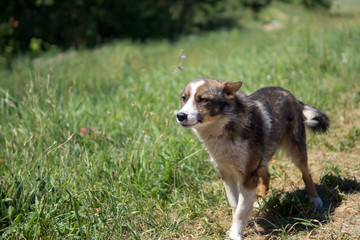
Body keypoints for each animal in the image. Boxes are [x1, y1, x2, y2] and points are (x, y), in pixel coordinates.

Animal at [176, 79, 330, 240]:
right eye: (184, 98)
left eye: (203, 99)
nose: (180, 116)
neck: (223, 129)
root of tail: (290, 95)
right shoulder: (226, 173)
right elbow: (235, 205)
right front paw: (237, 227)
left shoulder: (248, 176)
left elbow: (241, 210)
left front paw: (235, 234)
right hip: (261, 162)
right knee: (267, 176)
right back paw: (261, 202)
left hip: (296, 151)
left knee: (306, 174)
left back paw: (315, 199)